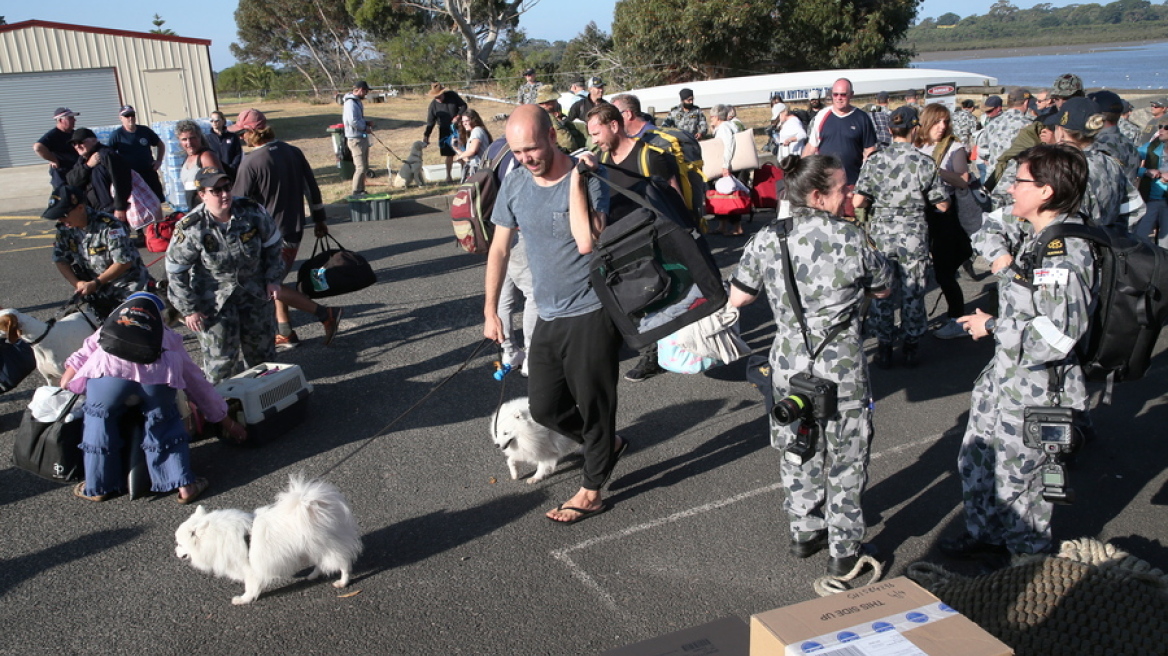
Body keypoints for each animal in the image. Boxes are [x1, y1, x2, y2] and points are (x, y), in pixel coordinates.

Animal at [172, 473, 359, 602]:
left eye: (180, 544)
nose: (175, 552)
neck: (215, 535)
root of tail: (315, 507)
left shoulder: (248, 568)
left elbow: (250, 587)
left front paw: (243, 600)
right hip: (313, 548)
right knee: (321, 563)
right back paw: (313, 574)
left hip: (327, 547)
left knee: (343, 563)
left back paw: (342, 582)